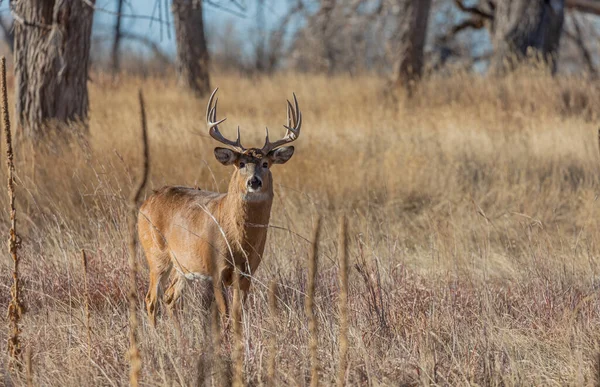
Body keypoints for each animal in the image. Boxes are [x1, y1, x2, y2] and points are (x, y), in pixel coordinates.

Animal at [139, 88, 302, 328]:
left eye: (265, 164)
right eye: (241, 163)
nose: (254, 181)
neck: (238, 240)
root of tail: (145, 203)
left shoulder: (247, 273)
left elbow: (237, 315)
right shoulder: (216, 270)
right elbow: (225, 315)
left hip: (182, 265)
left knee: (169, 297)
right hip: (156, 255)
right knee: (151, 299)